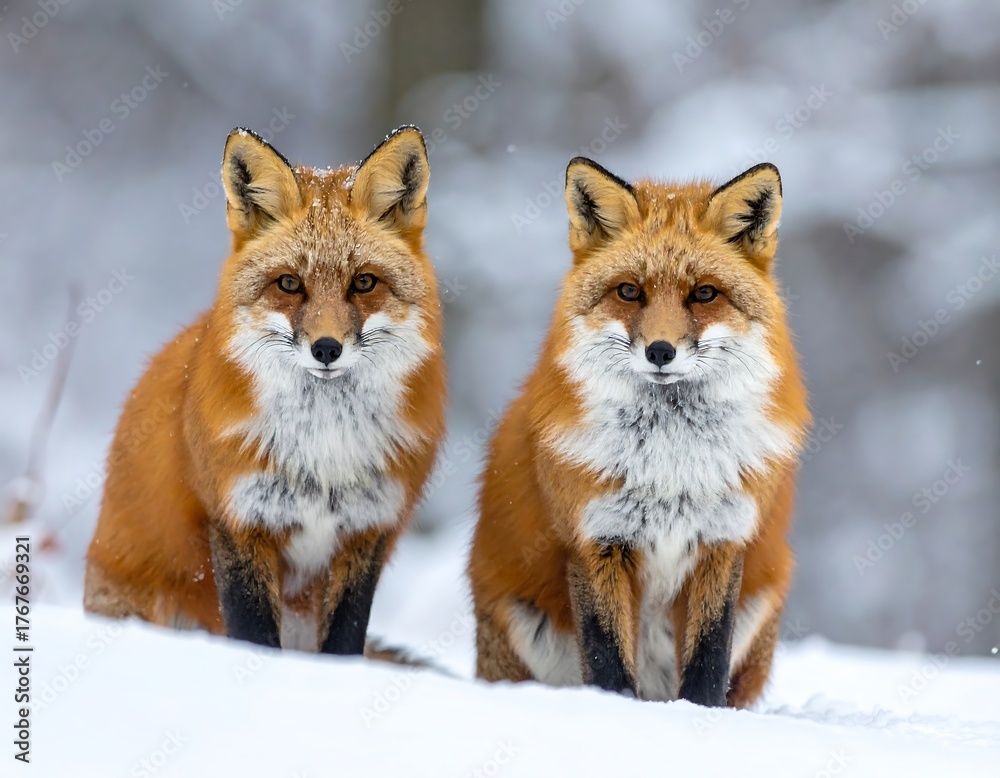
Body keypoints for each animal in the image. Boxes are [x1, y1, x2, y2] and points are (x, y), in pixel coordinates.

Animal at [84, 126, 447, 655]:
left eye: (364, 282)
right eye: (289, 284)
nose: (326, 348)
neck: (324, 452)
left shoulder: (367, 529)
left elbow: (345, 641)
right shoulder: (239, 520)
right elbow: (253, 635)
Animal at [469, 157, 810, 707]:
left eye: (704, 294)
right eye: (630, 291)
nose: (660, 351)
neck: (670, 467)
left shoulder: (722, 542)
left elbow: (707, 662)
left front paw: (701, 715)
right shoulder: (595, 540)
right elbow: (608, 661)